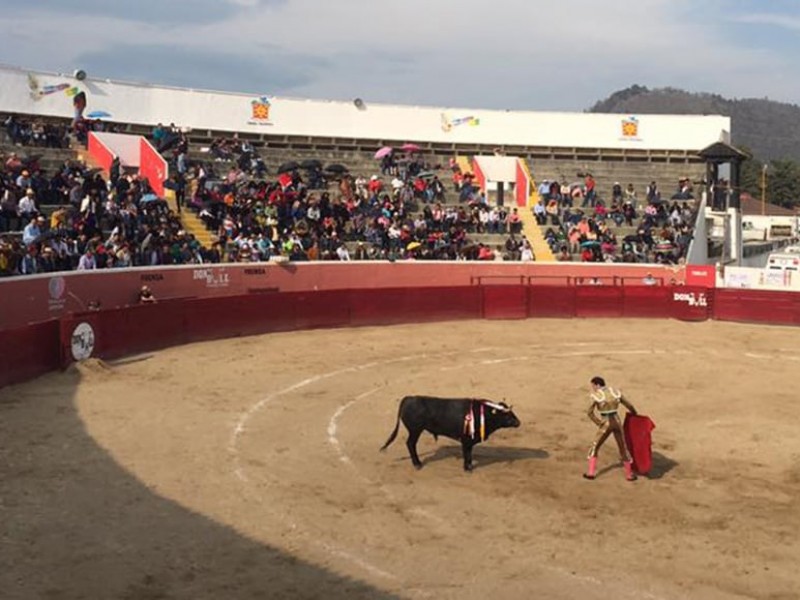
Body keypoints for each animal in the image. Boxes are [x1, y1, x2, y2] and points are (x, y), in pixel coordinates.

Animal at [382, 396, 524, 472]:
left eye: (512, 413)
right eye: (506, 415)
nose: (518, 422)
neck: (483, 414)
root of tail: (409, 398)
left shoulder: (470, 441)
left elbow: (469, 453)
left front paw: (469, 466)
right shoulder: (466, 440)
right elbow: (467, 453)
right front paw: (467, 468)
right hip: (415, 430)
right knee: (410, 444)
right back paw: (417, 464)